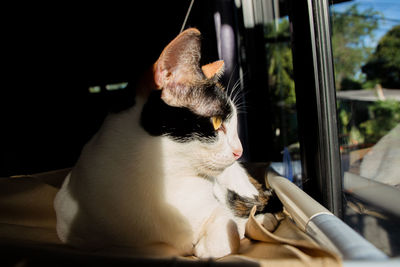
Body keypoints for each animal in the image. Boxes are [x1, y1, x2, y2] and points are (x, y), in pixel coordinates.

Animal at [54, 27, 282, 260]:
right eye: (217, 122)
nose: (240, 151)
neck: (161, 182)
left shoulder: (216, 208)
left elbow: (228, 234)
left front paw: (214, 240)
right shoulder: (69, 227)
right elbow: (132, 249)